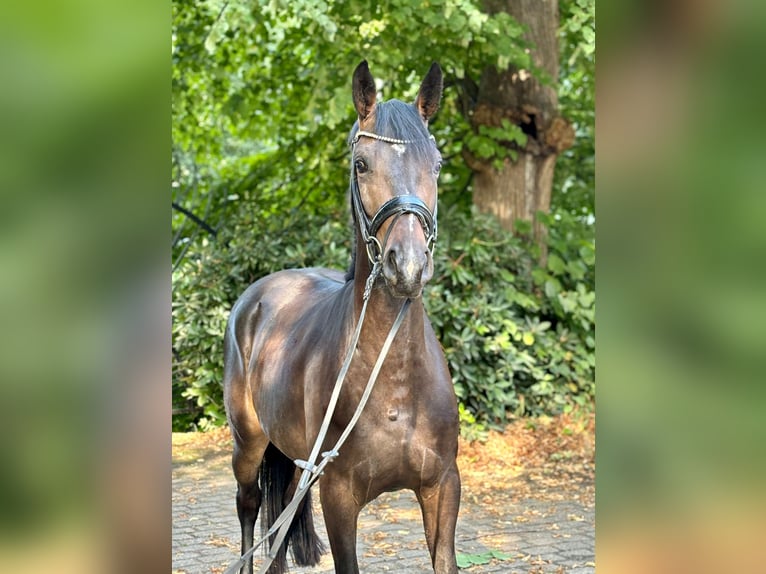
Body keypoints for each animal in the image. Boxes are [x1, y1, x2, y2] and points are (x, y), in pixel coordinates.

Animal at [222, 62, 462, 574]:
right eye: (361, 164)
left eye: (436, 164)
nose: (407, 265)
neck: (393, 382)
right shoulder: (339, 498)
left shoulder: (442, 488)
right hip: (248, 444)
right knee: (250, 508)